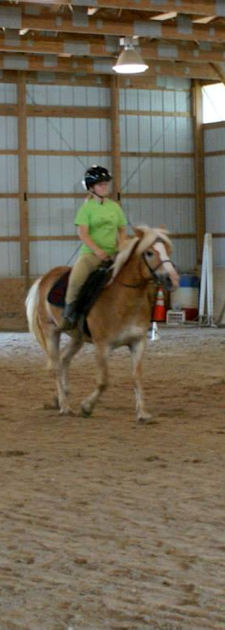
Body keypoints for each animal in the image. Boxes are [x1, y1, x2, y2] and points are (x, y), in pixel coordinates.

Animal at [25, 227, 179, 424]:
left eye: (167, 250)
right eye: (150, 253)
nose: (172, 279)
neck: (123, 299)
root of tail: (45, 278)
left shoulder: (138, 342)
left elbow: (137, 377)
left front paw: (143, 413)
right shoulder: (102, 346)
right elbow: (104, 380)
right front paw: (86, 407)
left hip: (77, 337)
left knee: (64, 359)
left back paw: (61, 398)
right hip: (51, 331)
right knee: (57, 367)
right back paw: (65, 407)